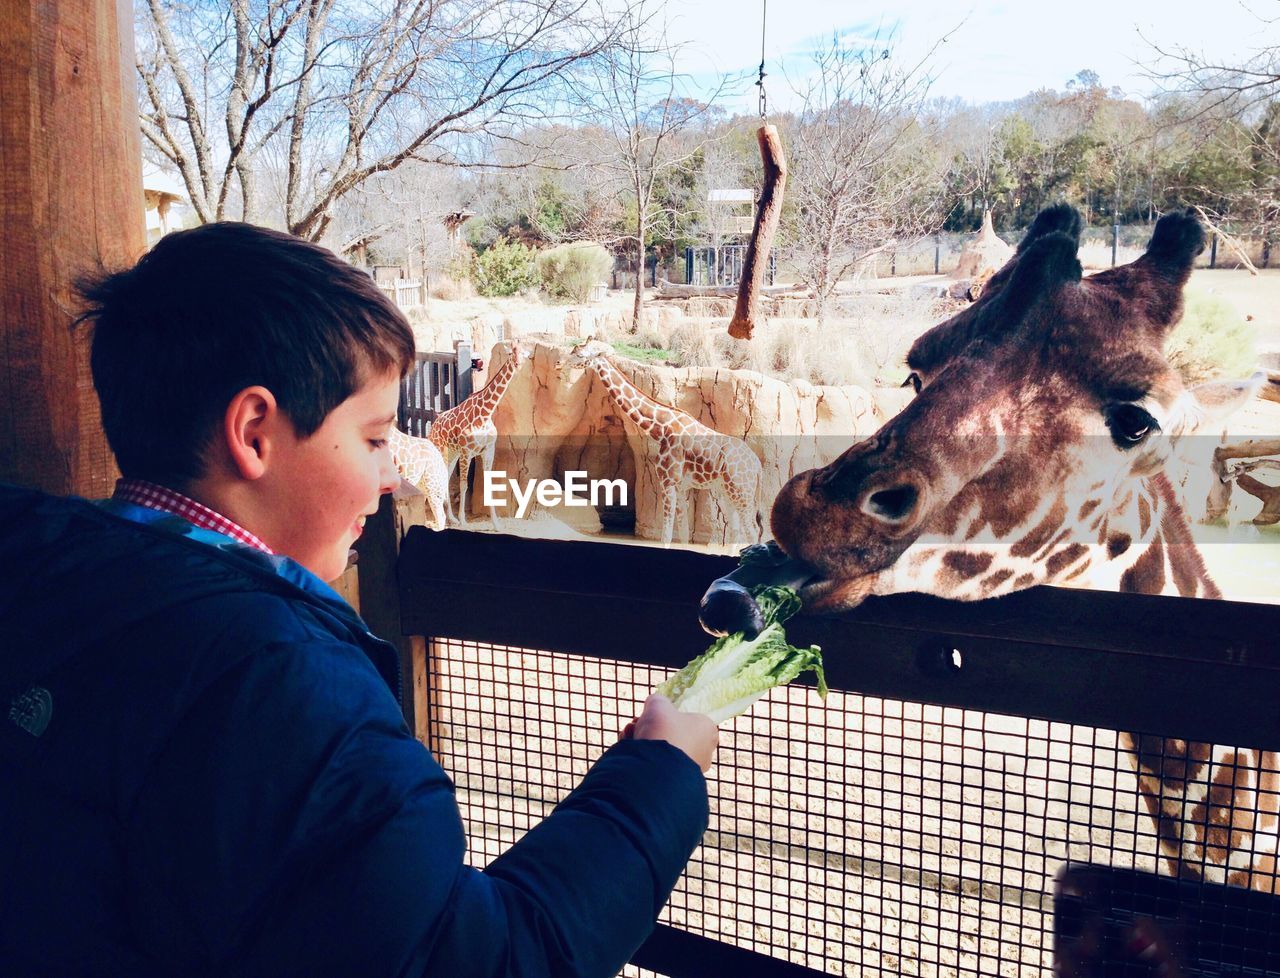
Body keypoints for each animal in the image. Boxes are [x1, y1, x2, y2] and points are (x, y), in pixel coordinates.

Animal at [427, 343, 522, 527]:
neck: (485, 414)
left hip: (453, 453)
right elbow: (464, 485)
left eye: (524, 353)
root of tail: (433, 424)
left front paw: (496, 524)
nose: (518, 364)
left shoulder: (487, 450)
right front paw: (464, 520)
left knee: (446, 477)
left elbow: (489, 484)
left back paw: (451, 518)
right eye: (511, 353)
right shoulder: (467, 452)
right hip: (441, 450)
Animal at [568, 340, 757, 545]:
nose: (560, 364)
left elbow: (666, 535)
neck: (662, 428)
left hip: (741, 491)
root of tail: (758, 467)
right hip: (728, 491)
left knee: (753, 530)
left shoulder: (668, 482)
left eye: (579, 354)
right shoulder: (681, 487)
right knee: (737, 530)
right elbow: (683, 533)